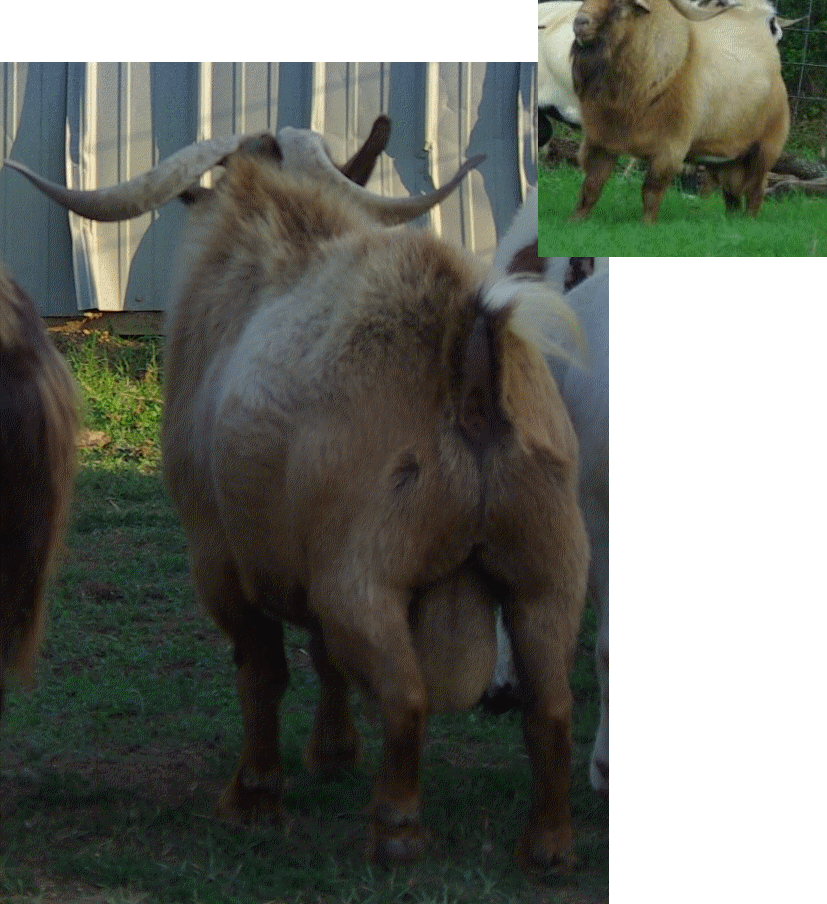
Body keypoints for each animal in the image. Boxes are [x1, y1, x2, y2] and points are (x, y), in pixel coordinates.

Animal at [6, 124, 590, 868]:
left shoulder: (220, 554)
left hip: (365, 576)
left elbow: (263, 669)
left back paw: (396, 828)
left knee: (405, 694)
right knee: (550, 706)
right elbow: (320, 655)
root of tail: (469, 355)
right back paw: (547, 844)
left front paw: (254, 795)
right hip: (547, 571)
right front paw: (333, 753)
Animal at [570, 0, 790, 222]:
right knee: (732, 195)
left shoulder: (670, 148)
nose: (579, 22)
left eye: (619, 6)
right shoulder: (599, 142)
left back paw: (749, 220)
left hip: (764, 150)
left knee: (756, 190)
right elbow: (591, 187)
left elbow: (651, 192)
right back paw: (731, 221)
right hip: (728, 159)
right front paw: (577, 220)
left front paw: (647, 224)